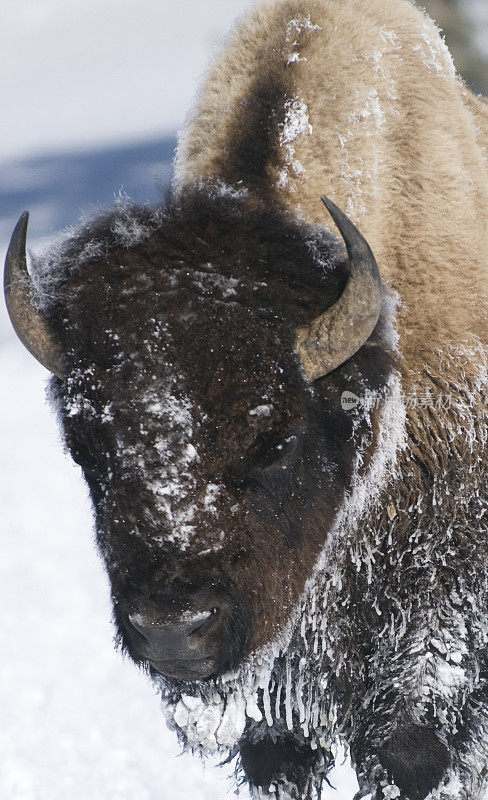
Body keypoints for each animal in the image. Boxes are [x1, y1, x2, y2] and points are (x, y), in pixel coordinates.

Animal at [5, 0, 488, 796]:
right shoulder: (276, 705)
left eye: (274, 440)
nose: (174, 629)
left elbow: (413, 750)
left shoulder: (432, 641)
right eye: (85, 448)